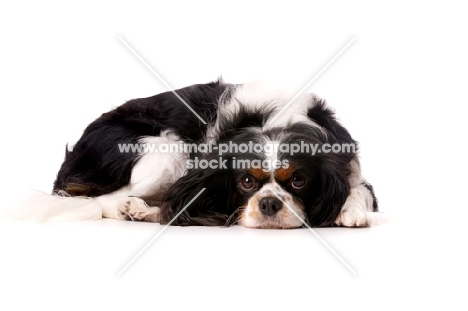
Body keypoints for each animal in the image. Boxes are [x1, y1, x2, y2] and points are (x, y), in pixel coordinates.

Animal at [47, 80, 376, 229]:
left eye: (298, 180)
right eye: (246, 181)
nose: (269, 204)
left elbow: (358, 192)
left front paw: (349, 210)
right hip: (167, 152)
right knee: (97, 198)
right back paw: (131, 208)